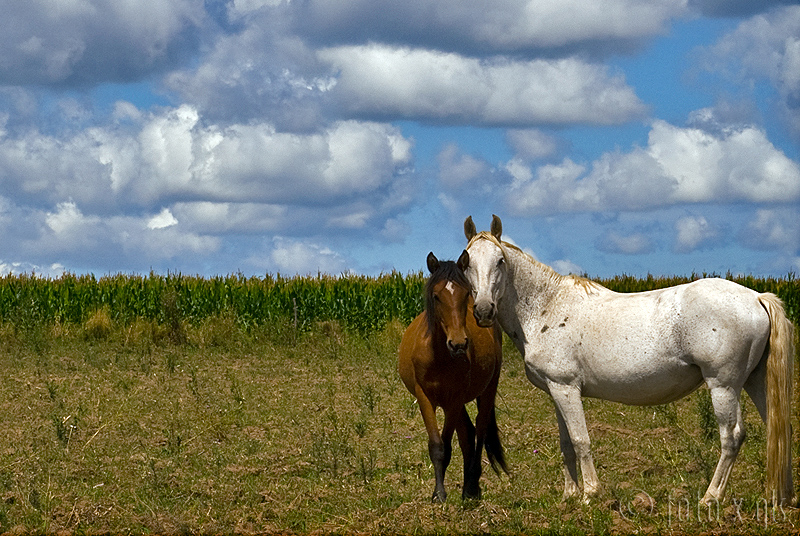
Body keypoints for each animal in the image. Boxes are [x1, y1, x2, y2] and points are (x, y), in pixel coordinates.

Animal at [398, 251, 506, 502]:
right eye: (436, 296)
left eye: (466, 294)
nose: (458, 344)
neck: (439, 356)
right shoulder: (425, 398)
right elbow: (437, 446)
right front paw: (438, 494)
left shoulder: (454, 400)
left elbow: (446, 446)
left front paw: (442, 493)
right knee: (468, 433)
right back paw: (468, 486)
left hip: (486, 391)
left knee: (480, 430)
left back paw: (472, 486)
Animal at [462, 216, 792, 504]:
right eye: (466, 262)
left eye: (500, 261)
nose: (483, 310)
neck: (547, 307)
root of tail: (756, 297)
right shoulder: (557, 391)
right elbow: (566, 443)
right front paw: (569, 496)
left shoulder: (567, 388)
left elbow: (581, 440)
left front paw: (590, 495)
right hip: (755, 382)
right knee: (777, 429)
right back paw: (782, 497)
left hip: (723, 386)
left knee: (731, 437)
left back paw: (711, 497)